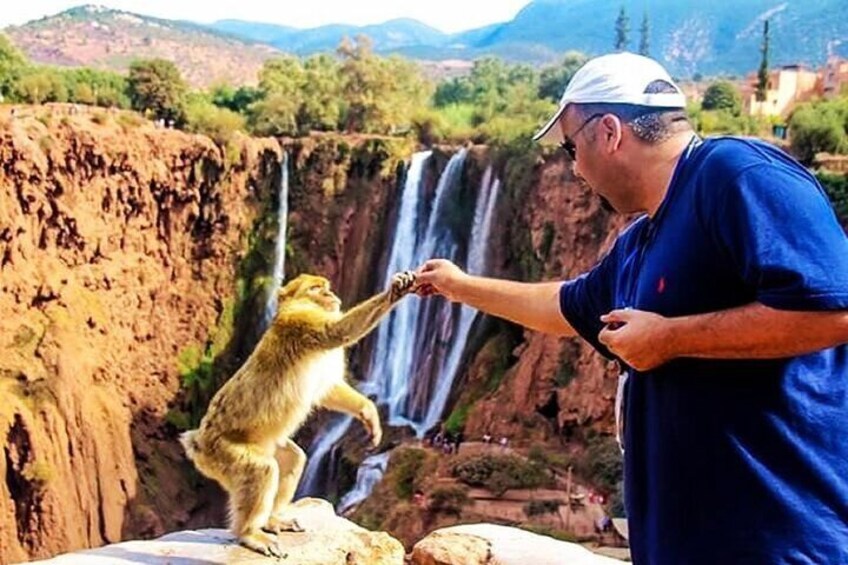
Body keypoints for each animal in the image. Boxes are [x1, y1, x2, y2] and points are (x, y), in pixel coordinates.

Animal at [181, 270, 416, 556]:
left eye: (326, 287)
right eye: (316, 288)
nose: (330, 294)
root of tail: (198, 442)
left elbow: (327, 389)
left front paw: (368, 412)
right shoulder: (300, 319)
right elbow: (337, 332)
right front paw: (395, 291)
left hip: (265, 445)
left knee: (293, 459)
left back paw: (272, 520)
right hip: (222, 453)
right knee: (261, 470)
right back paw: (250, 533)